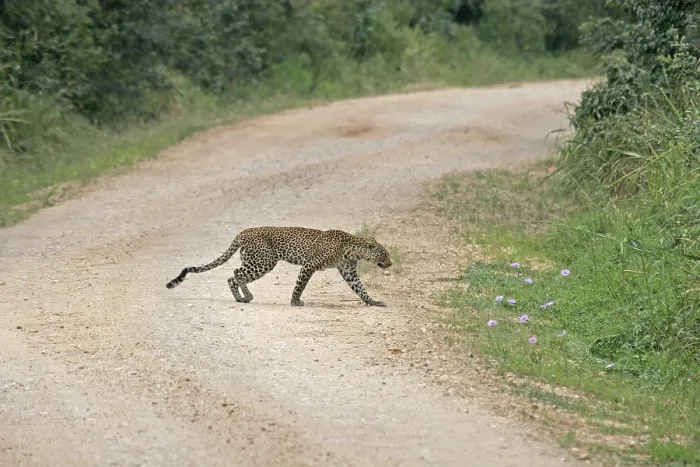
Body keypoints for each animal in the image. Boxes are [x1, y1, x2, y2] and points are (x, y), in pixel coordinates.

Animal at [166, 226, 392, 307]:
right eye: (385, 254)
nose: (391, 263)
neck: (352, 250)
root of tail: (242, 233)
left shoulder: (349, 272)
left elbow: (360, 289)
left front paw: (373, 302)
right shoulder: (309, 265)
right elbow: (300, 285)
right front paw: (295, 301)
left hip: (254, 260)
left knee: (234, 275)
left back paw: (242, 297)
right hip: (264, 261)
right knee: (235, 274)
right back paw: (245, 297)